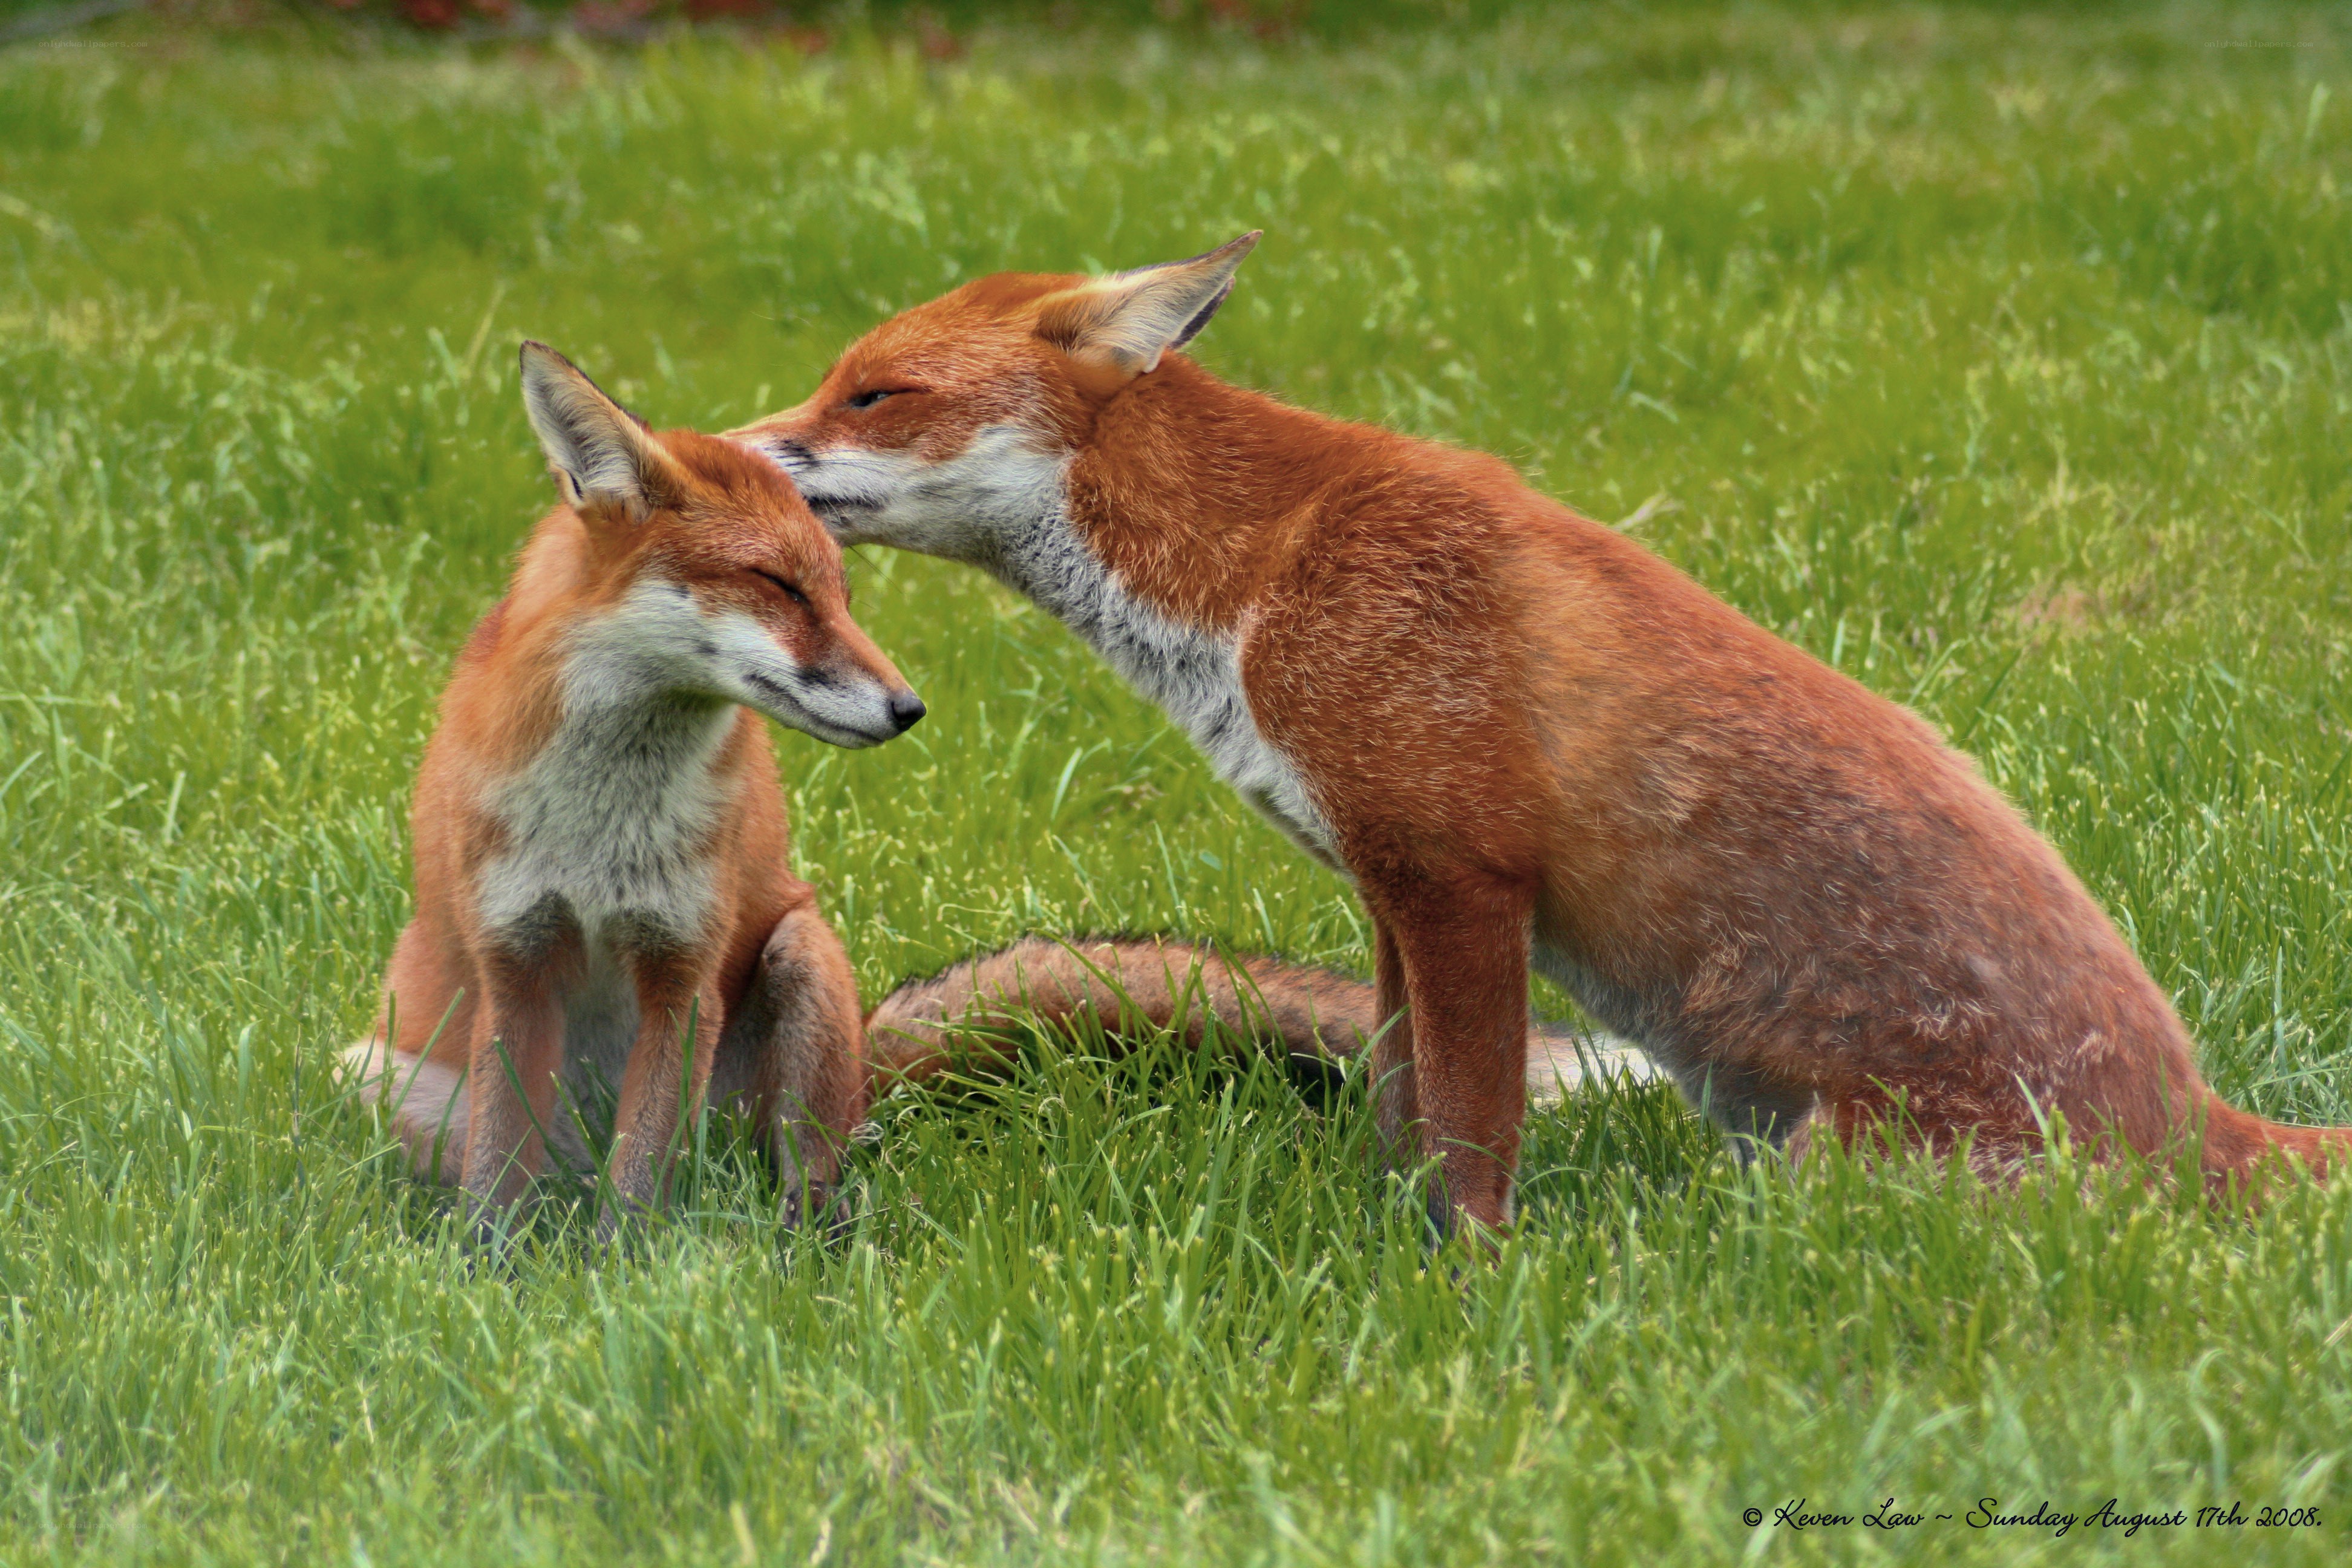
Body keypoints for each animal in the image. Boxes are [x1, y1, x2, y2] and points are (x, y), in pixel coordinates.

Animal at [343, 340, 1628, 1235]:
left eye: (840, 590)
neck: (604, 814)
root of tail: (868, 1053)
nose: (907, 709)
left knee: (790, 1174)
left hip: (798, 960)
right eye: (777, 586)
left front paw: (618, 1274)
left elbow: (638, 1177)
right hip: (380, 1073)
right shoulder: (516, 957)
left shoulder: (681, 968)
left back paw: (804, 1238)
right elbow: (501, 1176)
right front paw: (501, 1278)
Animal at [731, 231, 2352, 1234]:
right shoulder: (1388, 887)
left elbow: (1475, 1134)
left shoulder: (1464, 880)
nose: (718, 453)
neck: (1255, 581)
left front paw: (1468, 1281)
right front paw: (1383, 1243)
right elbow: (1400, 1108)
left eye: (872, 392)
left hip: (1823, 1176)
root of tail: (2202, 1125)